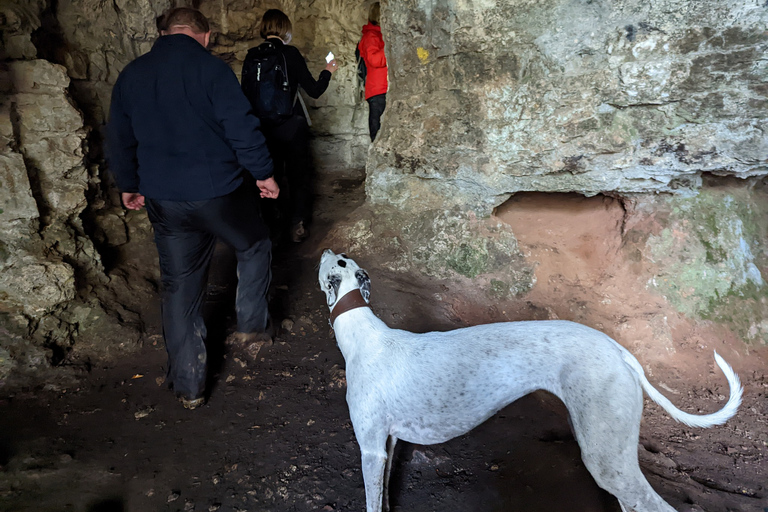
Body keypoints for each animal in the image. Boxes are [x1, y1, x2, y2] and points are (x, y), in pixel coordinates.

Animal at [320, 250, 744, 510]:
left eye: (338, 260)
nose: (325, 248)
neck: (363, 332)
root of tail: (616, 348)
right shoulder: (388, 442)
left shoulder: (371, 449)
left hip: (606, 459)